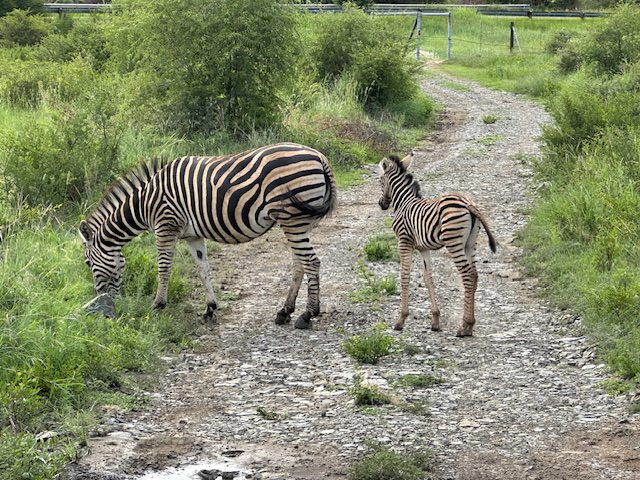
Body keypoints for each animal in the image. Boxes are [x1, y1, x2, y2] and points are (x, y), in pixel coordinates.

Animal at [80, 142, 338, 330]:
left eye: (88, 263)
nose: (103, 303)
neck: (144, 204)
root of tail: (319, 156)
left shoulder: (166, 227)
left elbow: (163, 268)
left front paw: (158, 305)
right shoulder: (192, 236)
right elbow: (203, 270)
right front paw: (210, 309)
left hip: (292, 218)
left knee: (311, 262)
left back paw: (307, 314)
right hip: (298, 221)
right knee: (299, 264)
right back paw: (285, 312)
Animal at [378, 152, 498, 336]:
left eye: (380, 181)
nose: (381, 204)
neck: (404, 203)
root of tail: (468, 203)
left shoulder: (404, 242)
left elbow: (404, 276)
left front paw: (401, 320)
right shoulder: (423, 248)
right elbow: (428, 279)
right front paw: (435, 321)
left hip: (454, 243)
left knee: (467, 275)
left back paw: (465, 326)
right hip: (470, 244)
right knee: (475, 274)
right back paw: (469, 326)